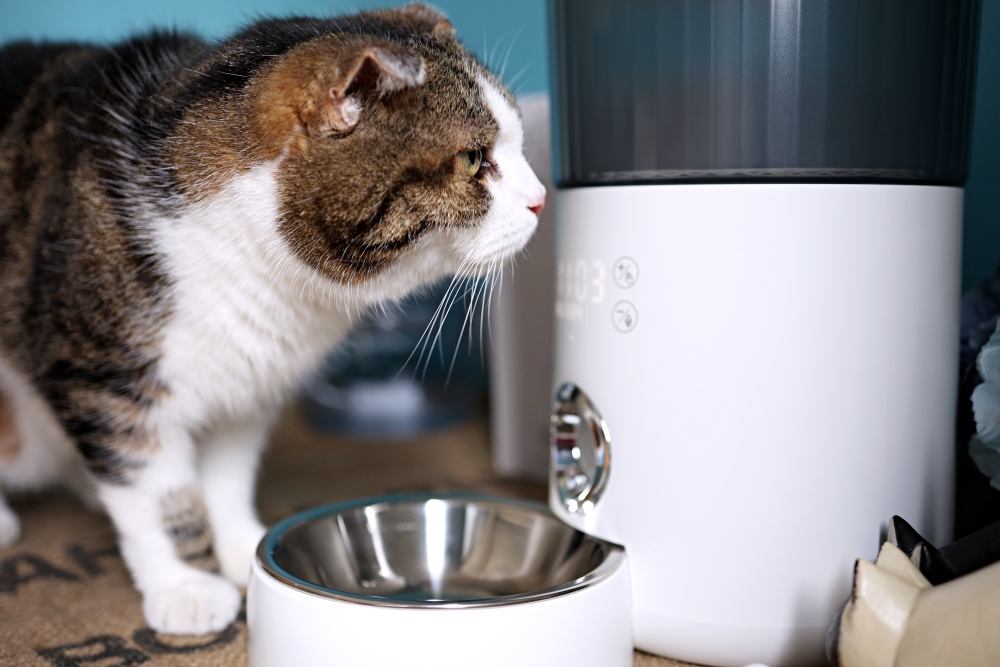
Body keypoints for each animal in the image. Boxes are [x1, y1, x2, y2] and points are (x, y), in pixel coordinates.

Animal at [0, 3, 548, 632]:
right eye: (473, 160)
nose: (541, 199)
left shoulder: (248, 380)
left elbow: (225, 476)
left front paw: (242, 551)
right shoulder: (106, 380)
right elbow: (157, 490)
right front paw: (187, 584)